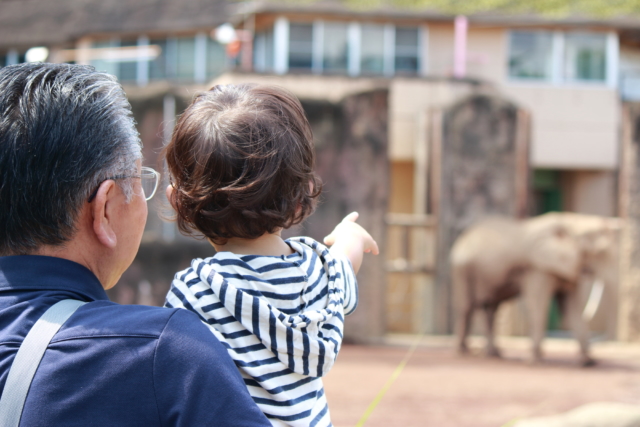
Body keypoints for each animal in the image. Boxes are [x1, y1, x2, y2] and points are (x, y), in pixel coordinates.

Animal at [450, 212, 620, 366]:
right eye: (599, 253)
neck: (571, 221)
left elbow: (573, 309)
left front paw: (588, 362)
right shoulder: (538, 268)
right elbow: (539, 304)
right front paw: (533, 361)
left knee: (490, 309)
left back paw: (494, 354)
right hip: (462, 269)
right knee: (467, 307)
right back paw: (464, 351)